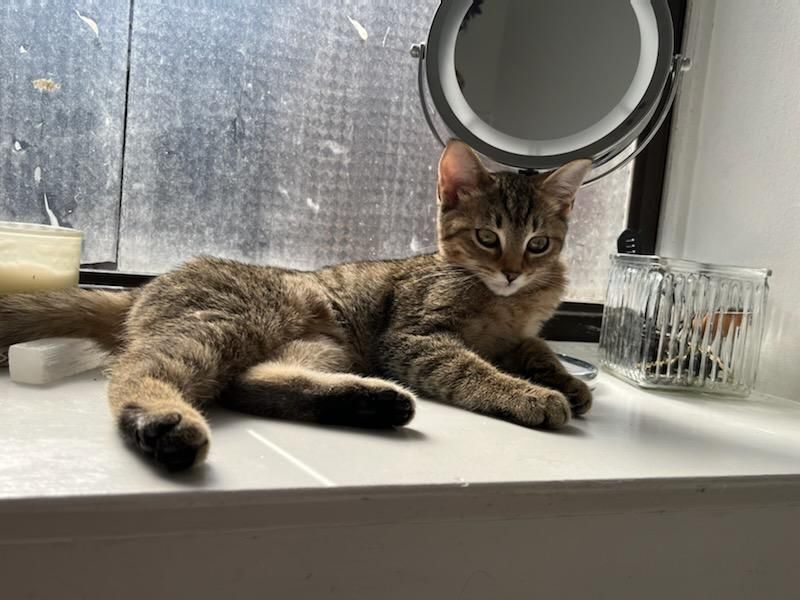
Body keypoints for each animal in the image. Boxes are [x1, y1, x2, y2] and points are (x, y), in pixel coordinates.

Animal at [0, 140, 593, 471]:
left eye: (539, 243)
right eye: (487, 237)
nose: (512, 271)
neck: (503, 301)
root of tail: (143, 290)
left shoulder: (519, 334)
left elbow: (539, 349)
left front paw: (569, 382)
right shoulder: (415, 338)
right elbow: (471, 368)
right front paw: (530, 395)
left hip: (321, 345)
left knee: (249, 383)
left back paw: (375, 404)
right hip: (222, 326)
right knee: (139, 371)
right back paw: (163, 422)